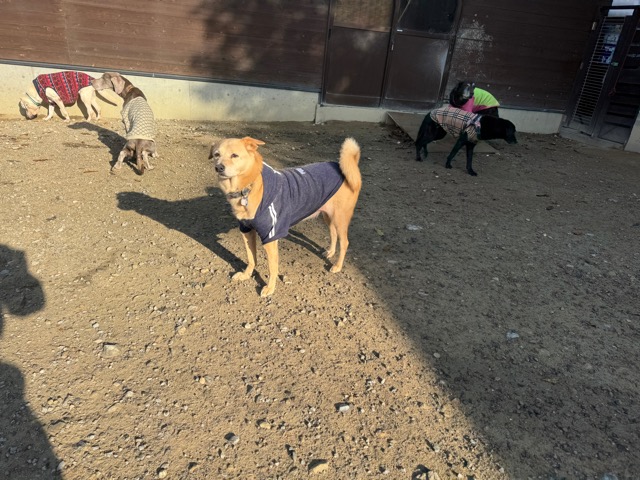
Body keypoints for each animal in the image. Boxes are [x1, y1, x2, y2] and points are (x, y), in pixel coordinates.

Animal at [210, 136, 362, 297]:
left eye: (234, 155)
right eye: (216, 155)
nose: (219, 167)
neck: (249, 187)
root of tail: (341, 167)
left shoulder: (270, 236)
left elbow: (272, 267)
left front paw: (270, 288)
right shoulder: (246, 230)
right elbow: (251, 258)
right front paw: (246, 275)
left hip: (340, 218)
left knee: (344, 242)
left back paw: (337, 266)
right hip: (328, 214)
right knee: (333, 233)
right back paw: (330, 252)